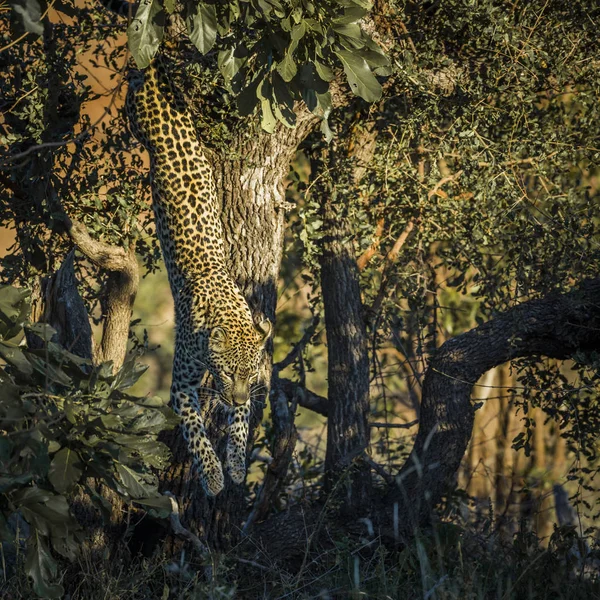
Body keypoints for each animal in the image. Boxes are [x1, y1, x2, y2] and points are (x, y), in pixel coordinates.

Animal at [126, 57, 272, 496]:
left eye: (249, 373)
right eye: (224, 372)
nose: (237, 398)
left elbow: (240, 427)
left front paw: (237, 465)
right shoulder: (183, 386)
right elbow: (195, 432)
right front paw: (212, 476)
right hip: (137, 118)